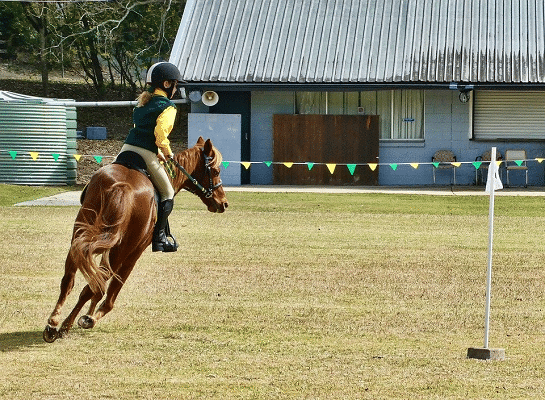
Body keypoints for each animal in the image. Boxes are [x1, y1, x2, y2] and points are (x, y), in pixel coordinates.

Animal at [43, 136, 227, 342]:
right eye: (216, 171)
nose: (223, 203)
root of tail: (123, 186)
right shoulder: (135, 252)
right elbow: (110, 292)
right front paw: (90, 318)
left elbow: (98, 285)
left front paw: (88, 315)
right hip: (123, 248)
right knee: (92, 287)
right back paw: (66, 326)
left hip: (80, 234)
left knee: (69, 280)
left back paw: (53, 324)